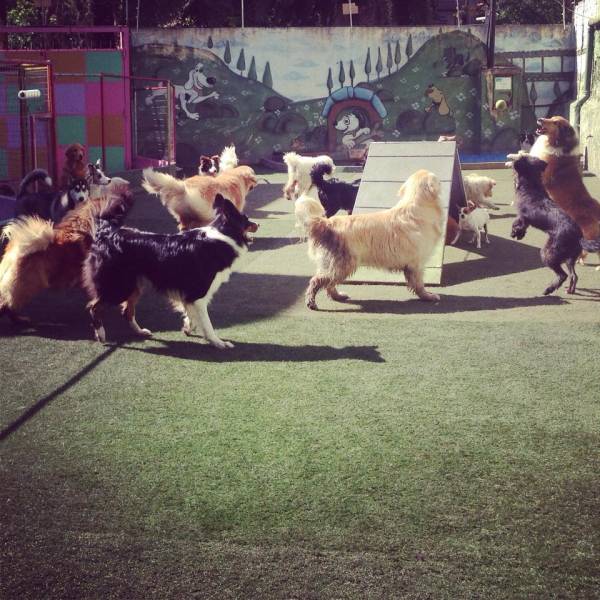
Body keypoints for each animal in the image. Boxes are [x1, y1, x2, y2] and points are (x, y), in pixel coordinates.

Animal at [82, 195, 258, 350]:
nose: (258, 224)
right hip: (119, 286)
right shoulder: (199, 294)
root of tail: (107, 233)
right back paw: (101, 335)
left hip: (134, 285)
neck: (223, 235)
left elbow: (191, 315)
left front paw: (188, 328)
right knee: (93, 307)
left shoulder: (190, 296)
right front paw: (218, 342)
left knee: (126, 311)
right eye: (246, 219)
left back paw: (140, 331)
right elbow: (207, 323)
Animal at [296, 168, 446, 310]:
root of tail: (326, 223)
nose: (442, 182)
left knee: (328, 284)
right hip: (343, 265)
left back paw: (338, 296)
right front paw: (428, 296)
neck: (417, 204)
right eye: (438, 180)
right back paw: (311, 302)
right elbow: (419, 284)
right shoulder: (416, 264)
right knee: (316, 281)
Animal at [508, 155, 588, 296]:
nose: (512, 162)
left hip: (548, 253)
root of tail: (578, 237)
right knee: (573, 275)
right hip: (570, 258)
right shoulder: (526, 220)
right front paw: (520, 234)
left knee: (563, 275)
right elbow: (522, 226)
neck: (531, 184)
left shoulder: (522, 216)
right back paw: (570, 290)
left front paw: (515, 232)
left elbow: (517, 223)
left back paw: (549, 289)